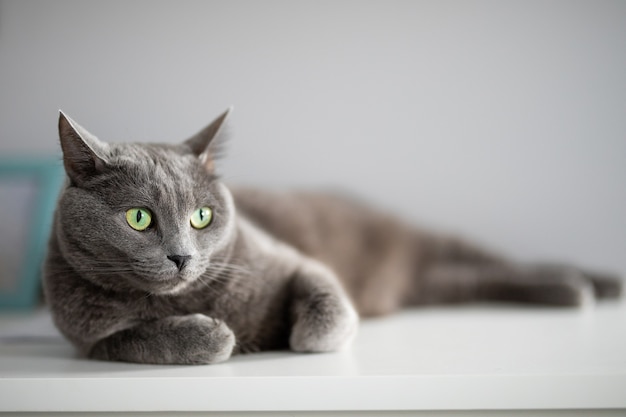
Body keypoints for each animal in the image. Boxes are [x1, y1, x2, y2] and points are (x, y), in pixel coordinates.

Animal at [42, 108, 620, 364]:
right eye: (139, 219)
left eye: (202, 217)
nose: (182, 257)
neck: (186, 297)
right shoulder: (88, 338)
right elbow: (138, 338)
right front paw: (219, 335)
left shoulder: (297, 264)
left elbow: (324, 313)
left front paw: (291, 336)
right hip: (439, 283)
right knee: (484, 278)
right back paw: (576, 290)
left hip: (431, 243)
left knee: (502, 260)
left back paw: (594, 284)